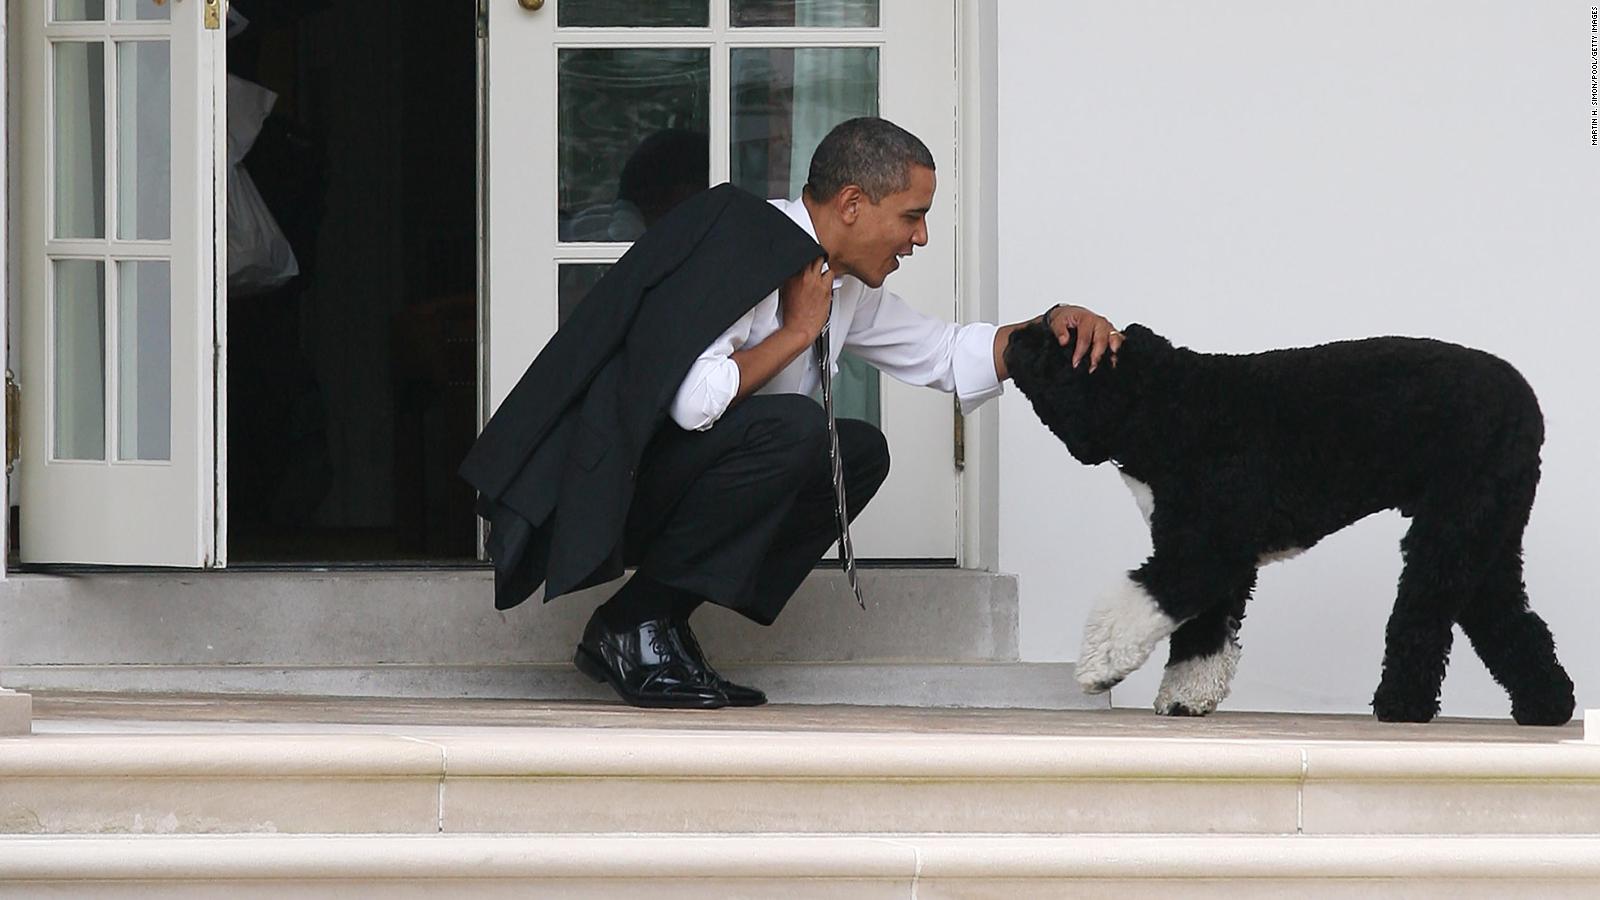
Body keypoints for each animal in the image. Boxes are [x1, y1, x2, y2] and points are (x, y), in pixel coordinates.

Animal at [1011, 318, 1574, 723]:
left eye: (1054, 344)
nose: (1013, 334)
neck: (1166, 403)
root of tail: (1525, 401)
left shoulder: (1206, 548)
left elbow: (1138, 600)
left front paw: (1099, 667)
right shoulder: (1218, 556)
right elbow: (1202, 635)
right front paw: (1186, 698)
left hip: (1451, 529)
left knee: (1423, 617)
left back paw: (1401, 707)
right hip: (1486, 534)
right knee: (1507, 618)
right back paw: (1547, 705)